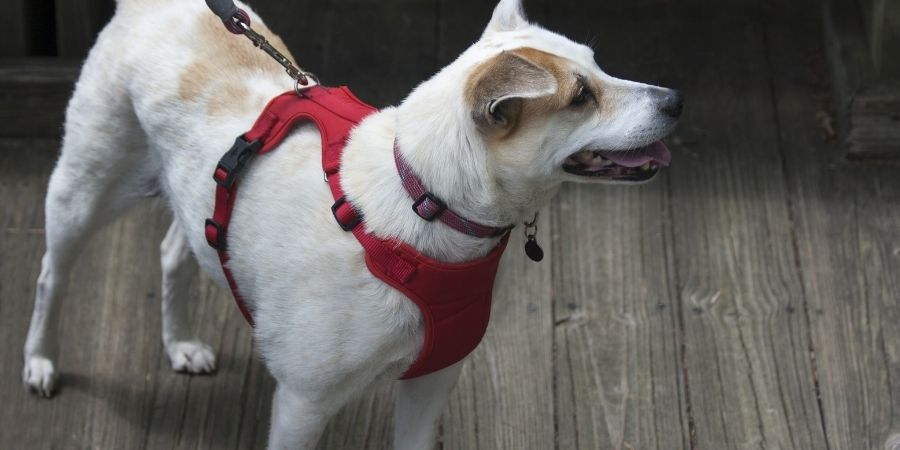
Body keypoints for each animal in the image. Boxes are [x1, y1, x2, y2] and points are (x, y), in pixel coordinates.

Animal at [22, 0, 684, 448]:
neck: (421, 200)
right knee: (52, 275)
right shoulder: (303, 404)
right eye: (580, 97)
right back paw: (40, 360)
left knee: (172, 248)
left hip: (194, 193)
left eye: (598, 67)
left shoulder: (429, 385)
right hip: (84, 187)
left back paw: (179, 342)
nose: (676, 101)